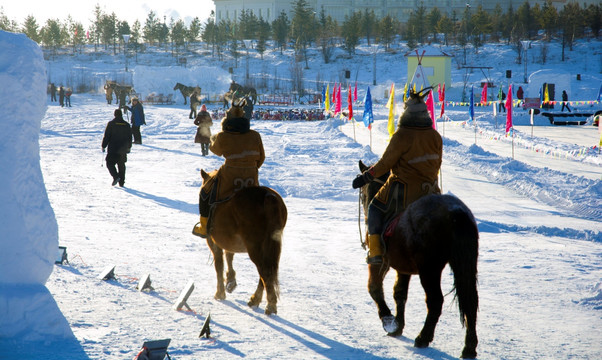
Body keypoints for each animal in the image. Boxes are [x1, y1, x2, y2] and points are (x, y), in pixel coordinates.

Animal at [198, 170, 288, 314]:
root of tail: (268, 197)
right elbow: (229, 256)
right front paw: (230, 281)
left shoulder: (213, 242)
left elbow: (219, 264)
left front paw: (220, 292)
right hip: (269, 245)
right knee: (265, 272)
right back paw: (255, 299)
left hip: (254, 246)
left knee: (264, 271)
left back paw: (270, 304)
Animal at [356, 161, 478, 360]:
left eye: (363, 192)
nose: (365, 202)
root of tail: (456, 213)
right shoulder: (403, 268)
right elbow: (399, 293)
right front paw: (398, 326)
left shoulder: (381, 263)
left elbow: (374, 288)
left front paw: (388, 319)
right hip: (466, 264)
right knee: (471, 301)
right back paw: (469, 347)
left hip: (430, 270)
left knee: (435, 301)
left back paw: (423, 337)